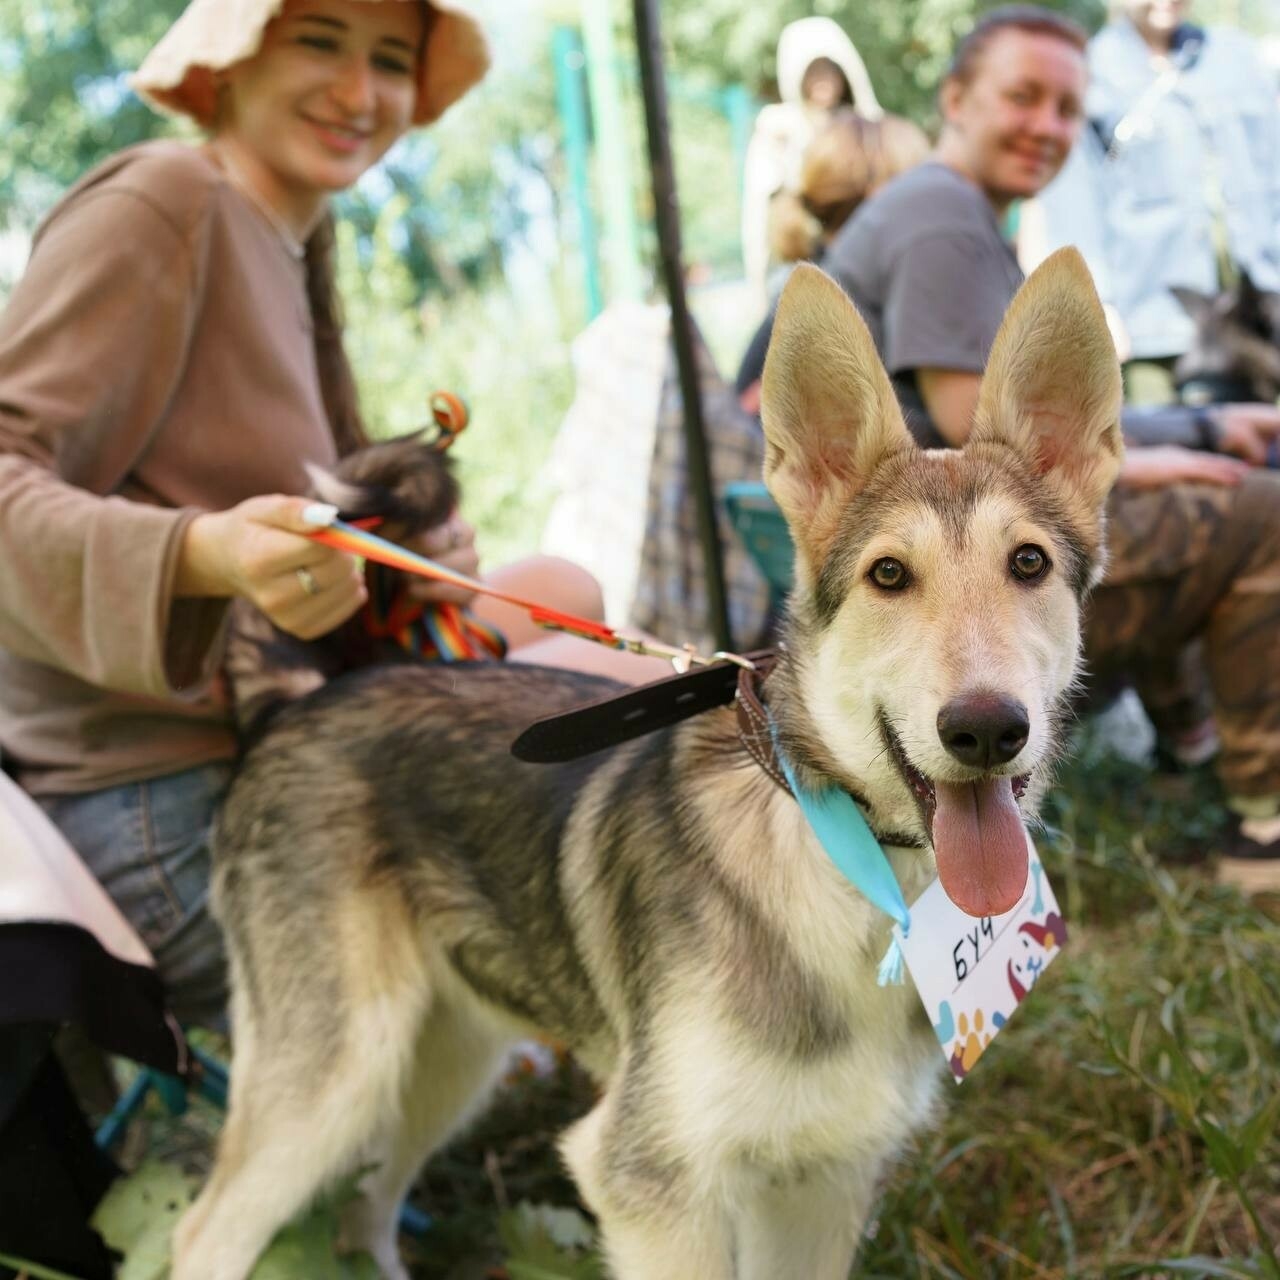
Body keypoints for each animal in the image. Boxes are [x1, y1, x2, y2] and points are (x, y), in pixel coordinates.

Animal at [170, 249, 1121, 1280]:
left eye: (1028, 564)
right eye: (888, 576)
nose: (986, 729)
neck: (842, 860)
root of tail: (299, 699)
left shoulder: (822, 1183)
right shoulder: (650, 1180)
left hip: (442, 1062)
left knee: (367, 1209)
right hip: (330, 1079)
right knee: (207, 1234)